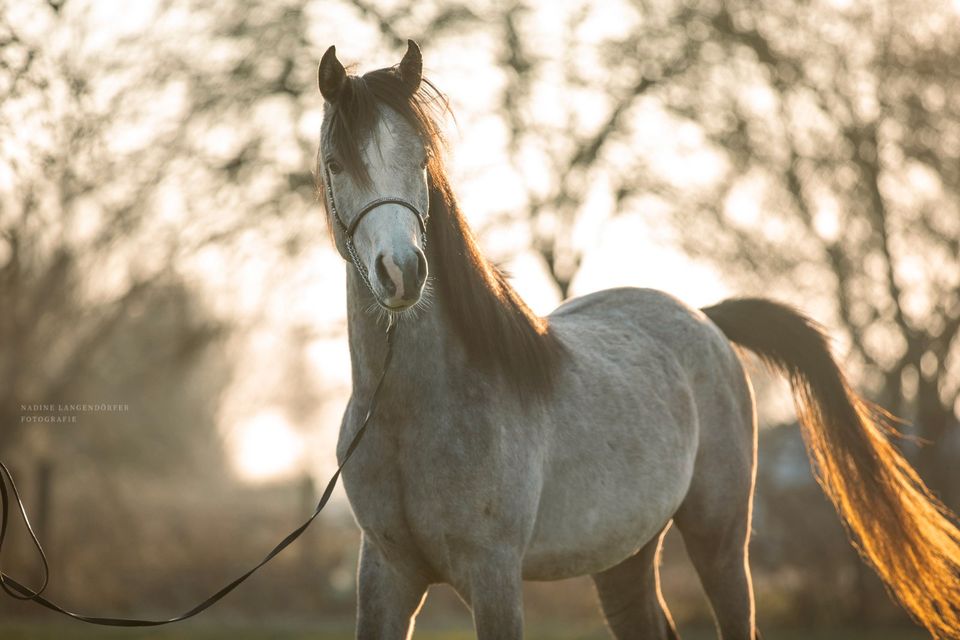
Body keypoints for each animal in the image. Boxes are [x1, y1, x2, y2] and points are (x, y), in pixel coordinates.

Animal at [316, 41, 960, 640]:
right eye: (336, 164)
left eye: (422, 157)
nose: (402, 272)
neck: (411, 413)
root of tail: (703, 317)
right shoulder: (385, 573)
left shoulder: (493, 576)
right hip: (623, 555)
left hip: (720, 540)